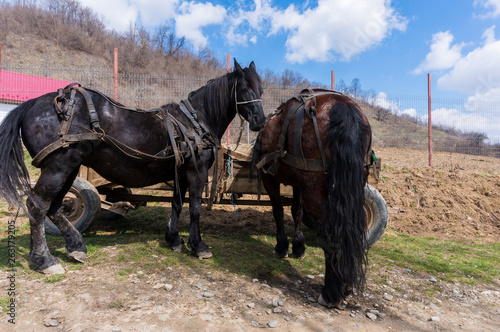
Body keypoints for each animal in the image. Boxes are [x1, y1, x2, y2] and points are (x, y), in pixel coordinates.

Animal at [0, 60, 266, 274]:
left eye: (261, 89)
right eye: (244, 88)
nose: (260, 121)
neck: (195, 122)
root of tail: (33, 103)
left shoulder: (180, 172)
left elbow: (177, 204)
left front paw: (173, 239)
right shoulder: (196, 171)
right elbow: (195, 208)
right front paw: (198, 245)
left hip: (69, 167)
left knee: (55, 206)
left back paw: (75, 247)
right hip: (58, 166)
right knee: (38, 206)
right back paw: (44, 260)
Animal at [254, 89, 372, 308]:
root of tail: (342, 106)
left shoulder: (269, 178)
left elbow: (278, 211)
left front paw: (282, 246)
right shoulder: (299, 183)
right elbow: (296, 211)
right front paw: (298, 245)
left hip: (314, 185)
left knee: (330, 233)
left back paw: (332, 291)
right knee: (351, 227)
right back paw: (345, 283)